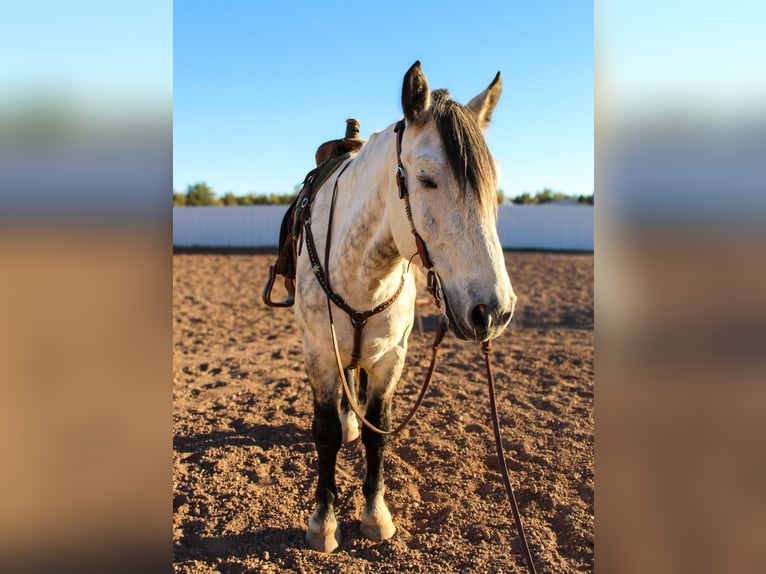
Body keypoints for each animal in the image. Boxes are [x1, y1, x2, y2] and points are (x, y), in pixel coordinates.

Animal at [293, 61, 517, 552]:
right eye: (427, 179)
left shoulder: (392, 357)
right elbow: (325, 434)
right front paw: (323, 523)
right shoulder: (319, 355)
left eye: (494, 185)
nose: (493, 310)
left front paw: (375, 516)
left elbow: (379, 431)